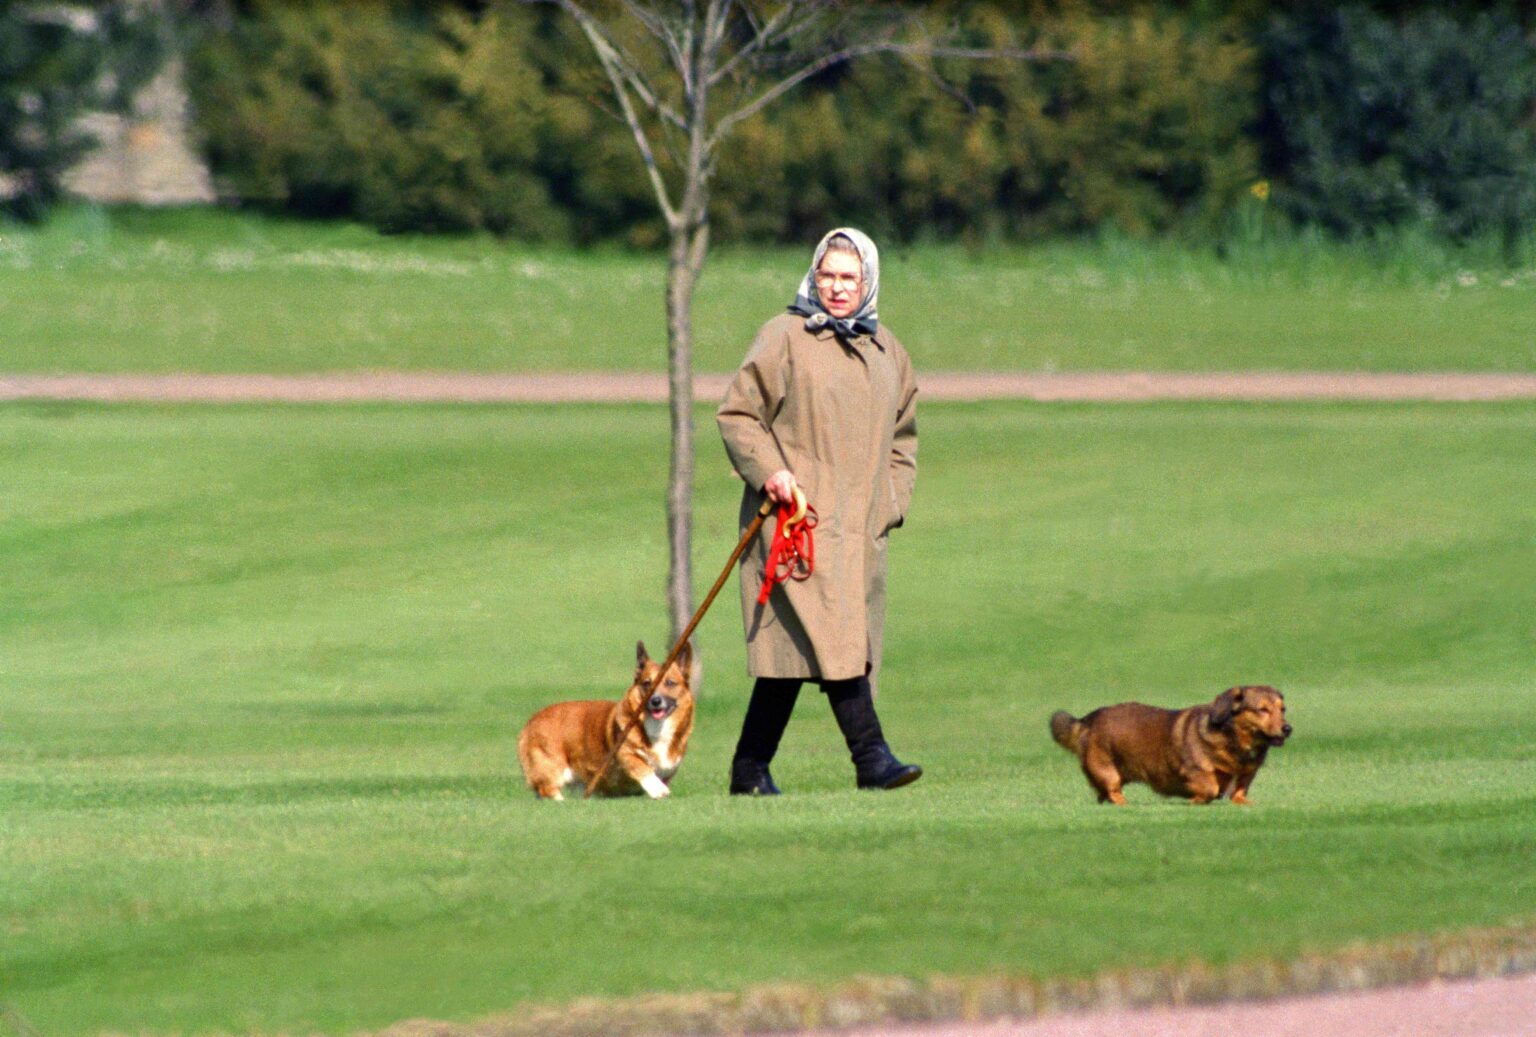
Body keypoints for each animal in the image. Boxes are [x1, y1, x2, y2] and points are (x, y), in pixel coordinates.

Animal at [516, 642, 697, 805]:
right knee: (547, 789)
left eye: (670, 683)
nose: (655, 701)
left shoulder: (670, 768)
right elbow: (641, 766)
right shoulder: (624, 754)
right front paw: (658, 789)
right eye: (647, 683)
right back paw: (562, 802)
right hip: (553, 768)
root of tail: (531, 721)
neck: (658, 728)